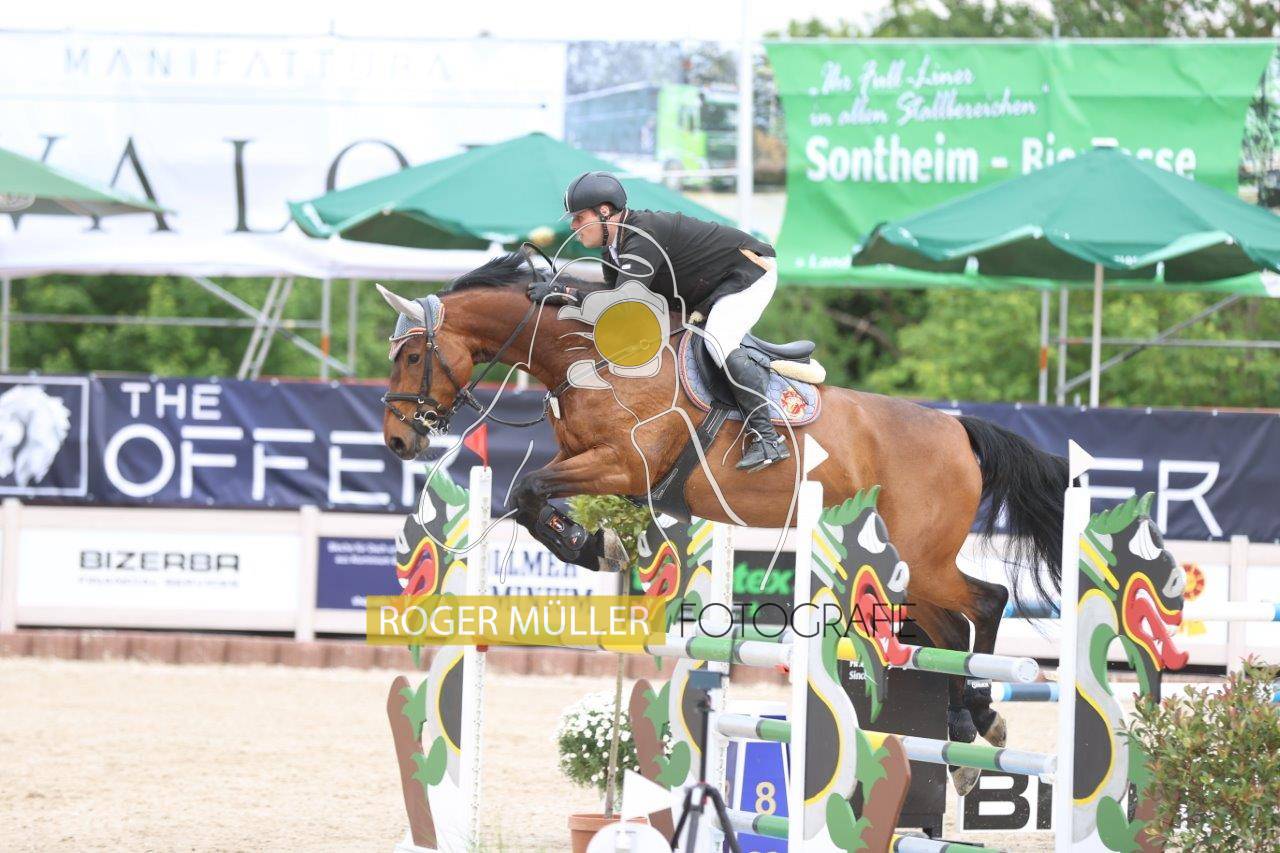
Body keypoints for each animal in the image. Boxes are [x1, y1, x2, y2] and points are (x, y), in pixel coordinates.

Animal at [378, 252, 1067, 789]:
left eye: (410, 355)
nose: (397, 441)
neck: (591, 360)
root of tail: (957, 429)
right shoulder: (595, 466)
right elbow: (528, 500)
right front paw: (594, 543)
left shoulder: (620, 466)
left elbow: (527, 490)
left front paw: (592, 545)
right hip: (910, 572)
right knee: (952, 630)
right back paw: (972, 731)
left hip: (920, 558)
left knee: (987, 602)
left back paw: (976, 722)